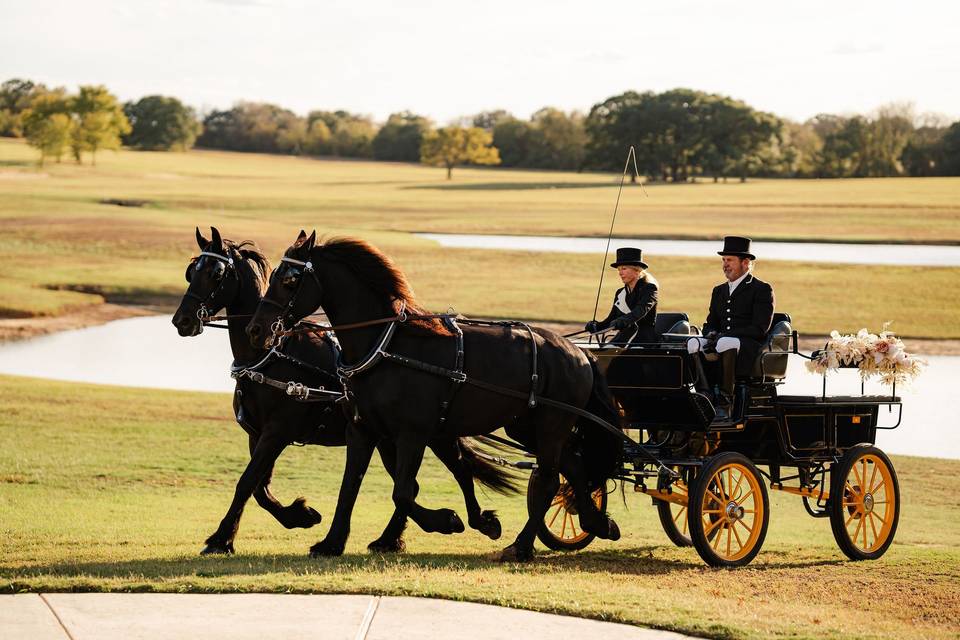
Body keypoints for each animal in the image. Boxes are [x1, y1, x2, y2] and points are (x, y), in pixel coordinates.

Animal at [172, 229, 516, 556]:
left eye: (216, 273)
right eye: (191, 272)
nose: (181, 321)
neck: (270, 355)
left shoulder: (277, 431)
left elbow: (247, 483)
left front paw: (220, 538)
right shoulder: (257, 434)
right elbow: (259, 488)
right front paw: (299, 516)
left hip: (423, 435)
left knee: (445, 476)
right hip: (396, 438)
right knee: (427, 480)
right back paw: (397, 537)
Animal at [248, 231, 624, 560]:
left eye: (290, 279)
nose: (256, 328)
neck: (386, 346)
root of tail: (579, 353)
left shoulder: (412, 434)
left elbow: (403, 491)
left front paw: (446, 520)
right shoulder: (363, 429)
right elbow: (350, 487)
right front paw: (332, 542)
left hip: (551, 425)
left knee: (547, 482)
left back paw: (521, 546)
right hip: (525, 427)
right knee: (572, 465)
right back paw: (595, 522)